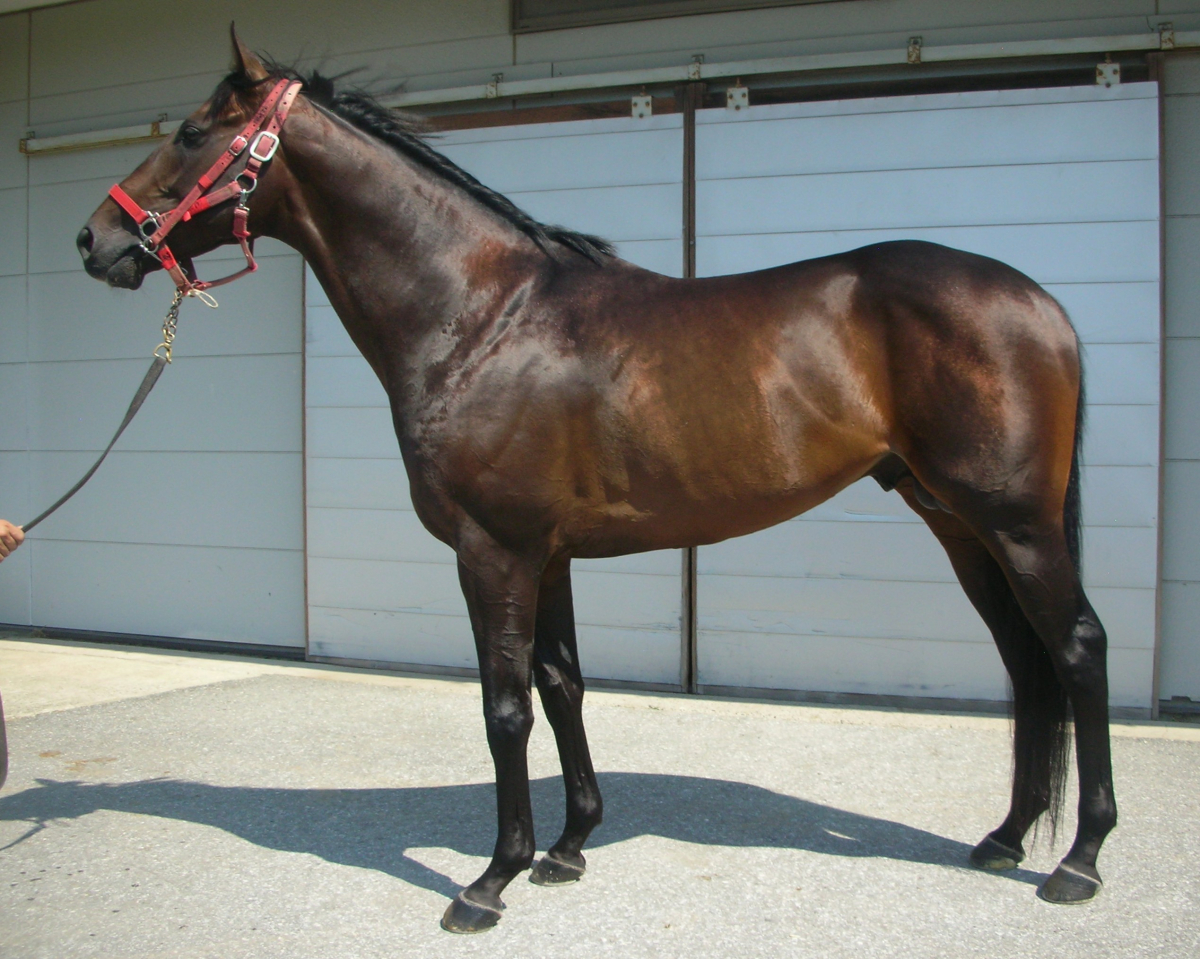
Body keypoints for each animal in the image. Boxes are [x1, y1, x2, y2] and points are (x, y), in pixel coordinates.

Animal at [77, 34, 1115, 933]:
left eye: (192, 132)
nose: (96, 240)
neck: (480, 318)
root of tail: (1040, 301)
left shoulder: (492, 552)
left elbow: (504, 708)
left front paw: (489, 880)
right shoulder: (550, 555)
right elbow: (563, 684)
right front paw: (569, 846)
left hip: (1016, 523)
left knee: (1075, 648)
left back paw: (1078, 860)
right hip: (958, 523)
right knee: (1025, 662)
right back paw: (1005, 837)